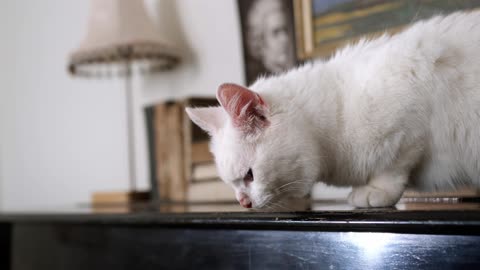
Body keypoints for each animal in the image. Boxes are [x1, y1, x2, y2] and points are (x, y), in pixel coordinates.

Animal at [186, 11, 480, 210]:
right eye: (232, 184)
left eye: (249, 175)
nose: (242, 203)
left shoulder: (409, 125)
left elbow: (392, 167)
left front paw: (375, 191)